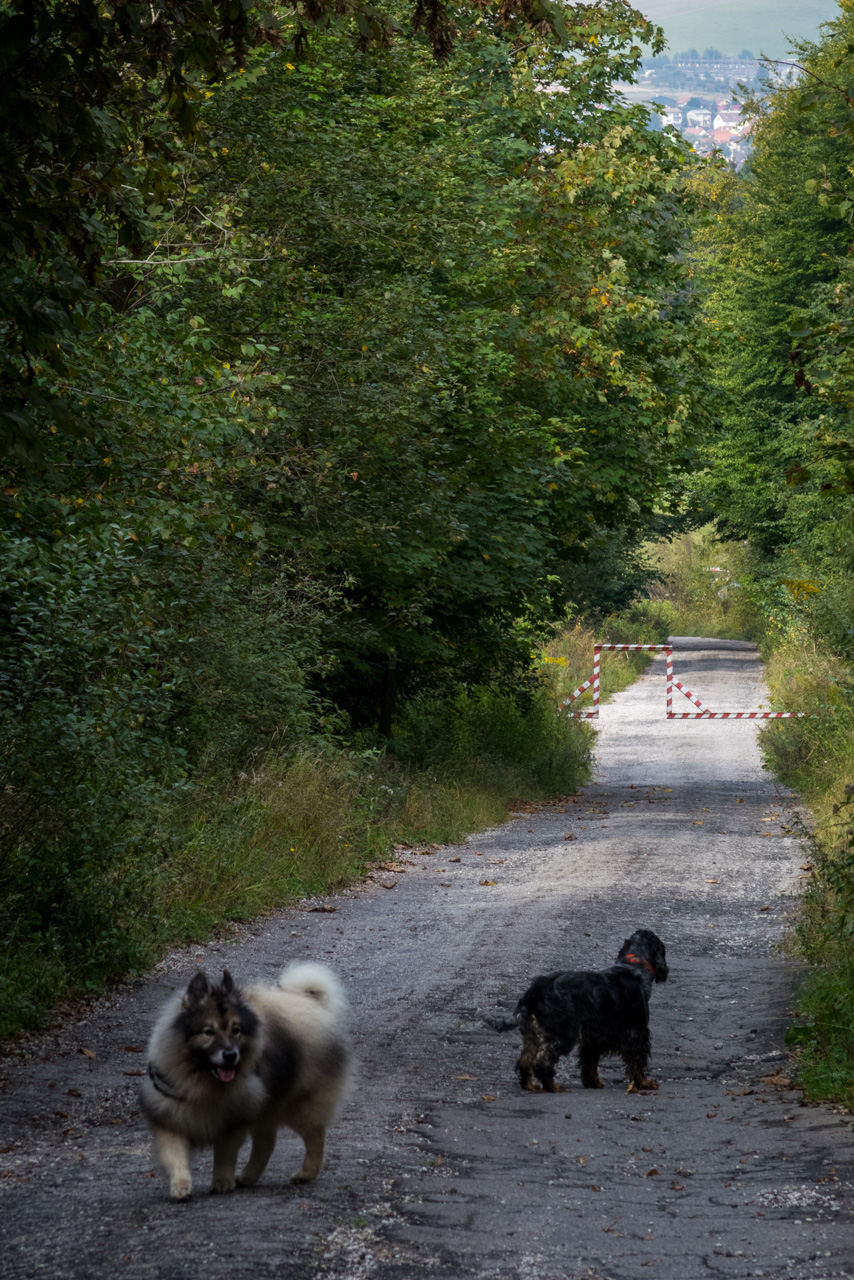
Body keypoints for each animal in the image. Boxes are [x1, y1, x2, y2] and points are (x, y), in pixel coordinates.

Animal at [140, 962, 350, 1198]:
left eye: (236, 1031)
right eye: (209, 1032)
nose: (230, 1055)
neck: (202, 1080)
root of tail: (310, 1002)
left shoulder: (233, 1119)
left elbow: (224, 1154)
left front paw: (222, 1181)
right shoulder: (170, 1118)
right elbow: (174, 1155)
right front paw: (180, 1185)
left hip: (297, 1104)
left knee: (315, 1135)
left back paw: (306, 1173)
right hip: (267, 1106)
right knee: (266, 1142)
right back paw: (249, 1176)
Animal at [486, 926, 665, 1095]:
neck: (635, 966)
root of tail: (536, 989)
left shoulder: (594, 1037)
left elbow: (589, 1063)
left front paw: (593, 1083)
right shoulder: (637, 1032)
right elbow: (637, 1061)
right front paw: (644, 1083)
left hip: (532, 1033)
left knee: (525, 1061)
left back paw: (530, 1086)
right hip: (562, 1033)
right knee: (542, 1062)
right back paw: (553, 1087)